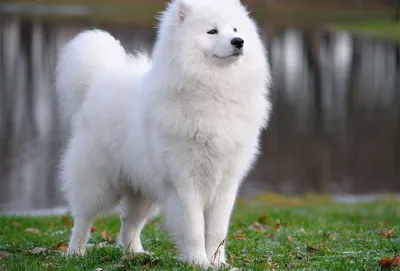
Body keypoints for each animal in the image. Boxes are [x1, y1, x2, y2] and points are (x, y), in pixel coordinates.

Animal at [56, 0, 272, 268]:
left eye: (235, 29)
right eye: (212, 31)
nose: (238, 41)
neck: (214, 90)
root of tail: (100, 79)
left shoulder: (225, 182)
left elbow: (217, 230)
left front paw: (218, 263)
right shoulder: (184, 181)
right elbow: (194, 227)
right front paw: (198, 262)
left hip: (143, 191)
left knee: (129, 224)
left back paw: (135, 254)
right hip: (97, 182)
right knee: (84, 218)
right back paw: (75, 252)